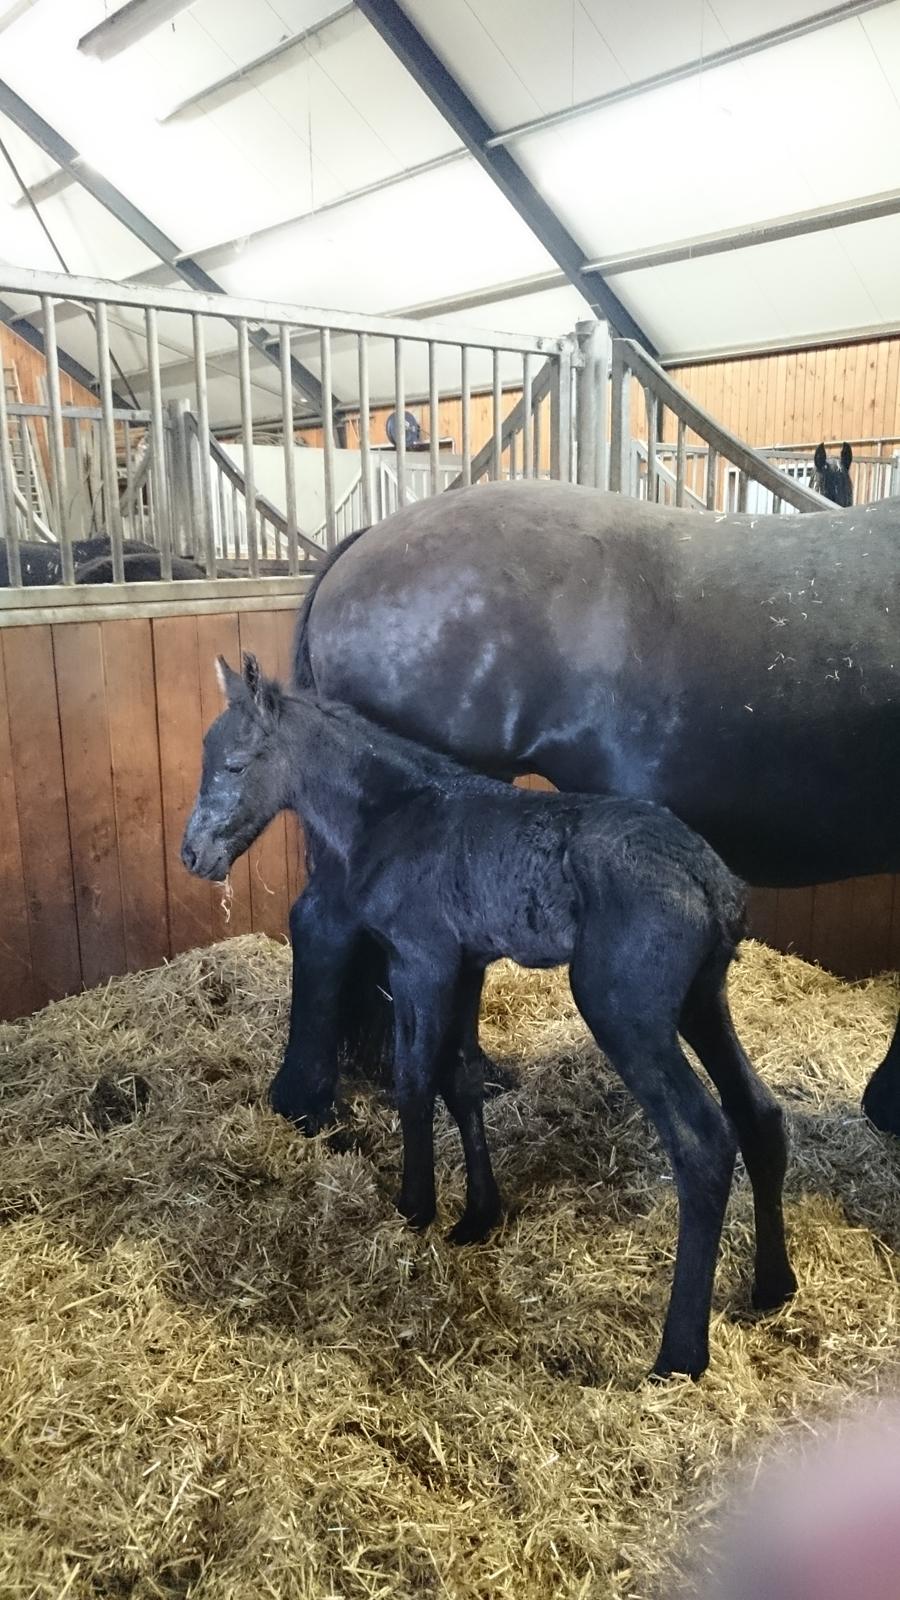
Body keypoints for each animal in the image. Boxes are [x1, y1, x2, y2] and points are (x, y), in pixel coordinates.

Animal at [182, 656, 791, 1382]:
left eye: (236, 764)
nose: (193, 855)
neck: (398, 812)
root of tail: (710, 880)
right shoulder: (469, 963)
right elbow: (463, 1078)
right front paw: (478, 1216)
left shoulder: (420, 959)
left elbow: (415, 1081)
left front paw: (415, 1206)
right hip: (703, 1000)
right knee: (759, 1112)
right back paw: (774, 1286)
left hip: (626, 1012)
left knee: (701, 1142)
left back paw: (679, 1355)